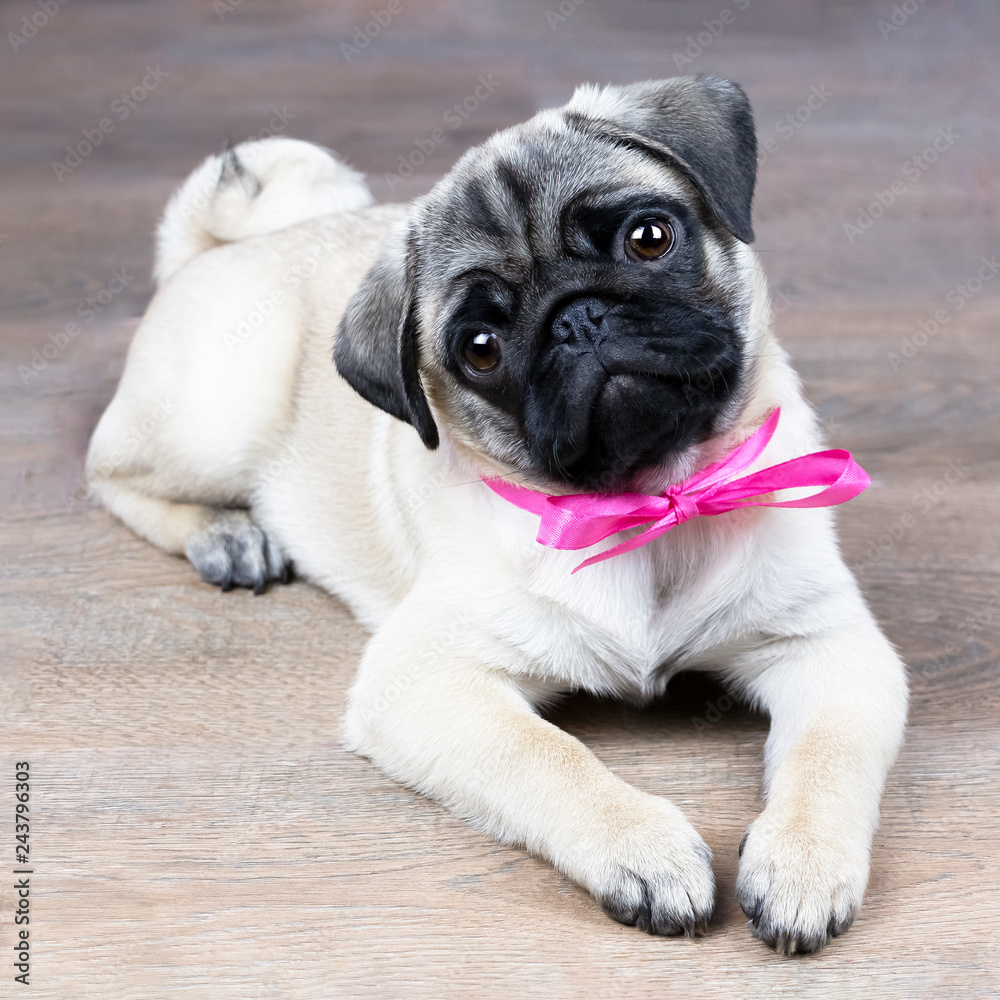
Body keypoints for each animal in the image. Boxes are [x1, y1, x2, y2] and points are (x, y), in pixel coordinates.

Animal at [90, 76, 912, 952]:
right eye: (480, 348)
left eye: (649, 238)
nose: (577, 317)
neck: (646, 503)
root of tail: (213, 248)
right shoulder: (424, 683)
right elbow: (547, 757)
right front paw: (644, 850)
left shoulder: (829, 648)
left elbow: (827, 755)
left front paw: (802, 863)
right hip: (217, 420)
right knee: (111, 471)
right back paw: (229, 535)